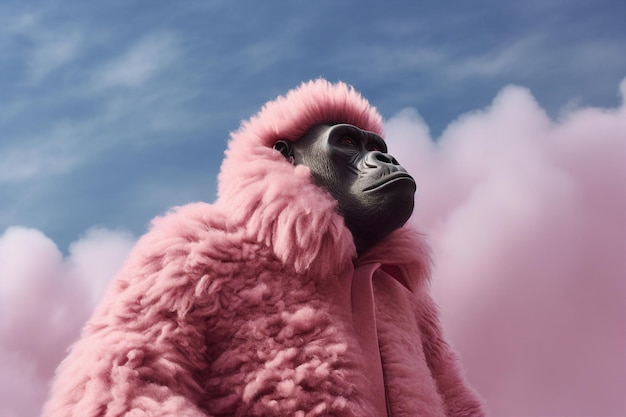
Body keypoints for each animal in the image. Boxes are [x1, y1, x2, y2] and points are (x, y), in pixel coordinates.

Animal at [44, 79, 482, 416]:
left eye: (378, 145)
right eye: (346, 140)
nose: (385, 157)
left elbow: (451, 389)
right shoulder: (180, 251)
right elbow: (134, 372)